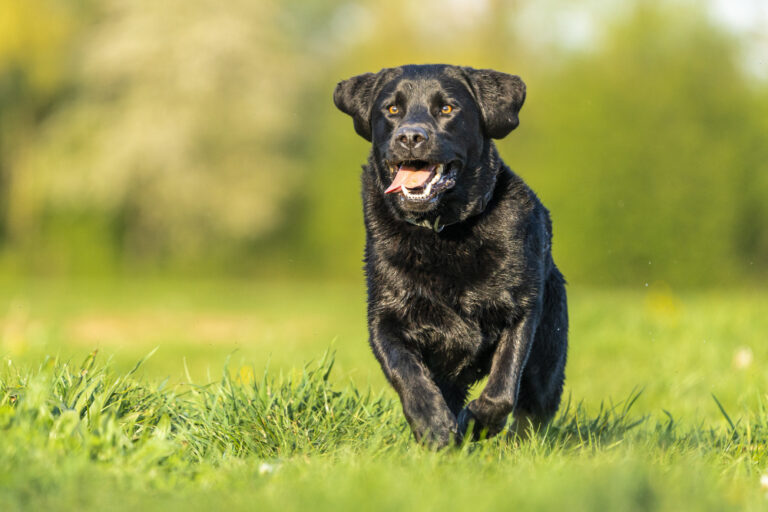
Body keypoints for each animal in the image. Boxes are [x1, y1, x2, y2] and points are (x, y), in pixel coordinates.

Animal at [332, 65, 568, 448]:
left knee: (532, 413)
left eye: (447, 108)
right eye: (392, 109)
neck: (441, 231)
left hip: (548, 362)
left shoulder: (521, 310)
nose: (410, 136)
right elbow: (408, 376)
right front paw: (435, 427)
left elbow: (503, 386)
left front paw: (477, 422)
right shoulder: (385, 319)